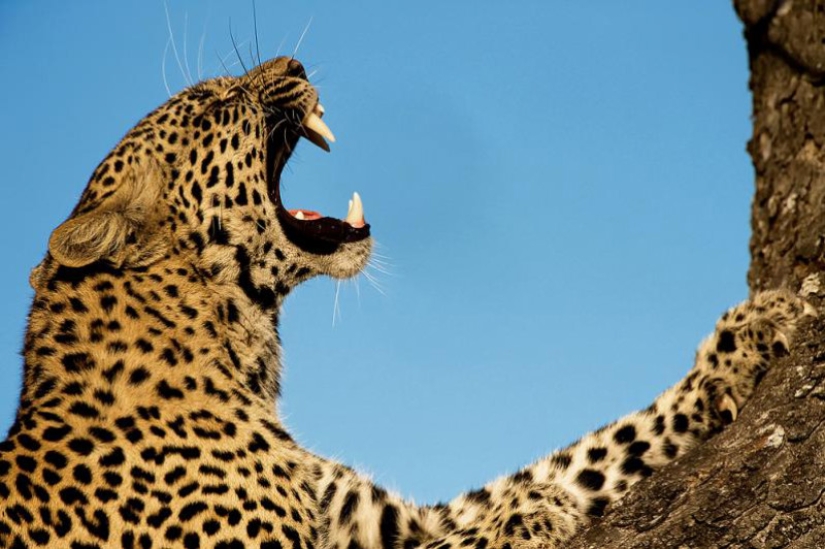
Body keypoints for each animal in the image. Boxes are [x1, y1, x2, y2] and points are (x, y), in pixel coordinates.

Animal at [0, 55, 812, 548]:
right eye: (213, 101)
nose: (295, 64)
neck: (243, 351)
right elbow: (494, 516)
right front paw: (528, 514)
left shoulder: (389, 520)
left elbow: (587, 454)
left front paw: (744, 338)